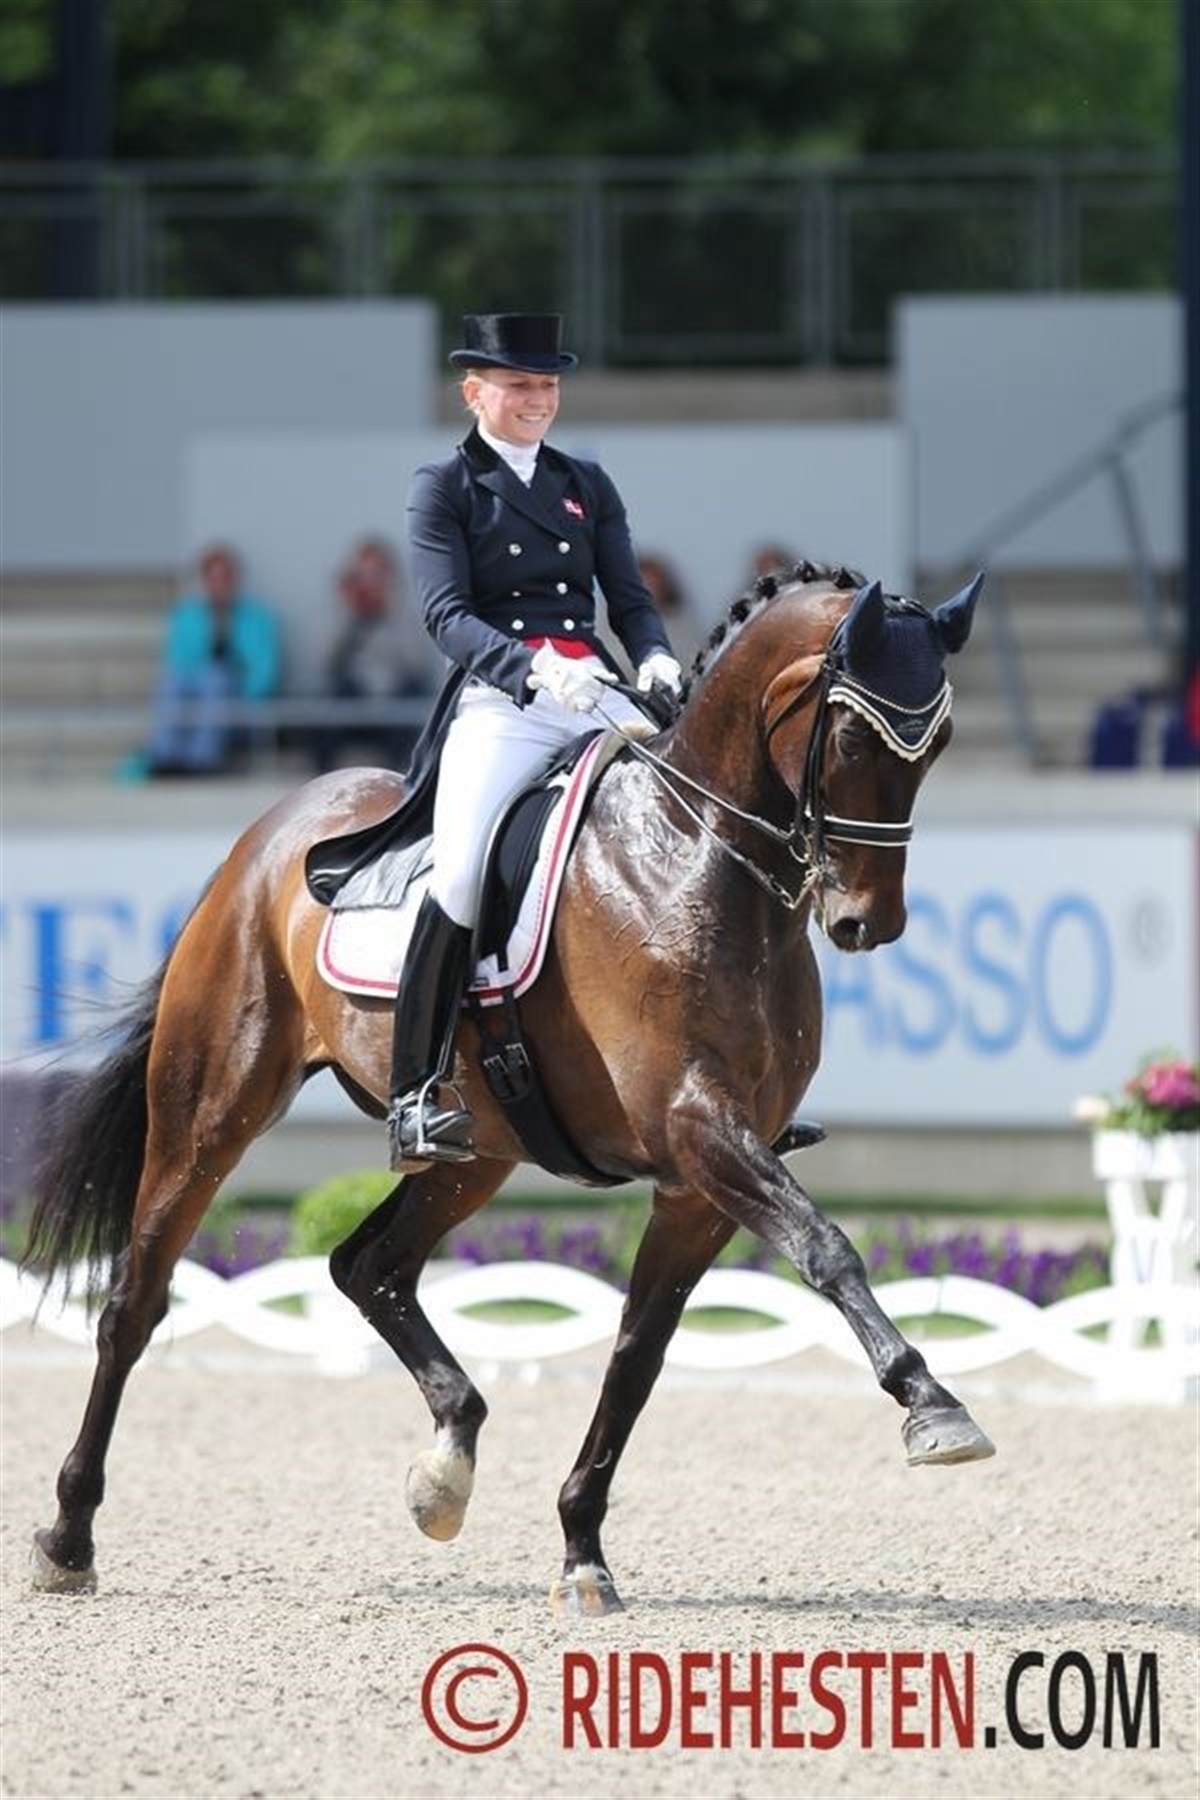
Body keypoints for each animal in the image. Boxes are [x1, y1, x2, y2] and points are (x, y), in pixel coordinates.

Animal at [23, 560, 994, 1616]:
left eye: (941, 743)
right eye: (855, 735)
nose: (868, 924)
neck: (695, 859)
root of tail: (264, 837)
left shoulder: (697, 1184)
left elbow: (638, 1354)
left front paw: (583, 1550)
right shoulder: (700, 1130)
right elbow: (828, 1251)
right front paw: (932, 1406)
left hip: (474, 1151)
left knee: (367, 1265)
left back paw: (445, 1466)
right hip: (211, 1111)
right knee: (135, 1300)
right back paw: (67, 1536)